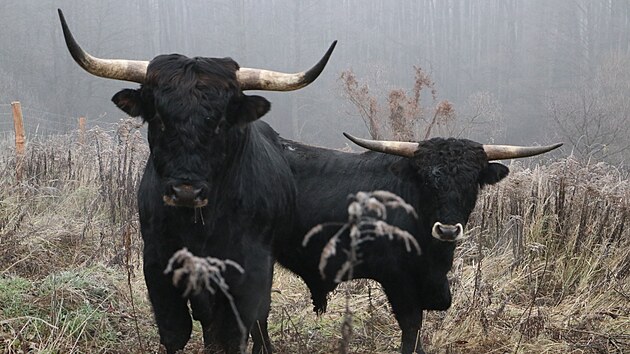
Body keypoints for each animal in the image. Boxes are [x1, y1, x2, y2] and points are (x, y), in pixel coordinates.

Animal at [57, 9, 338, 354]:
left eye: (220, 122)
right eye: (159, 118)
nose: (186, 191)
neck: (199, 226)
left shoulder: (249, 268)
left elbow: (236, 330)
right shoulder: (158, 263)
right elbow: (175, 331)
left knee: (258, 318)